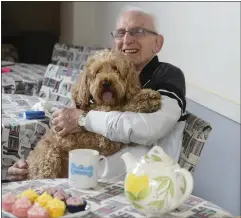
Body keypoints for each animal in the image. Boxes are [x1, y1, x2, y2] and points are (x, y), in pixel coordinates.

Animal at [26, 49, 161, 179]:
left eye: (115, 68)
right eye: (97, 72)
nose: (106, 82)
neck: (105, 104)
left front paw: (146, 96)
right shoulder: (105, 139)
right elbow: (123, 108)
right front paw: (147, 98)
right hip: (49, 160)